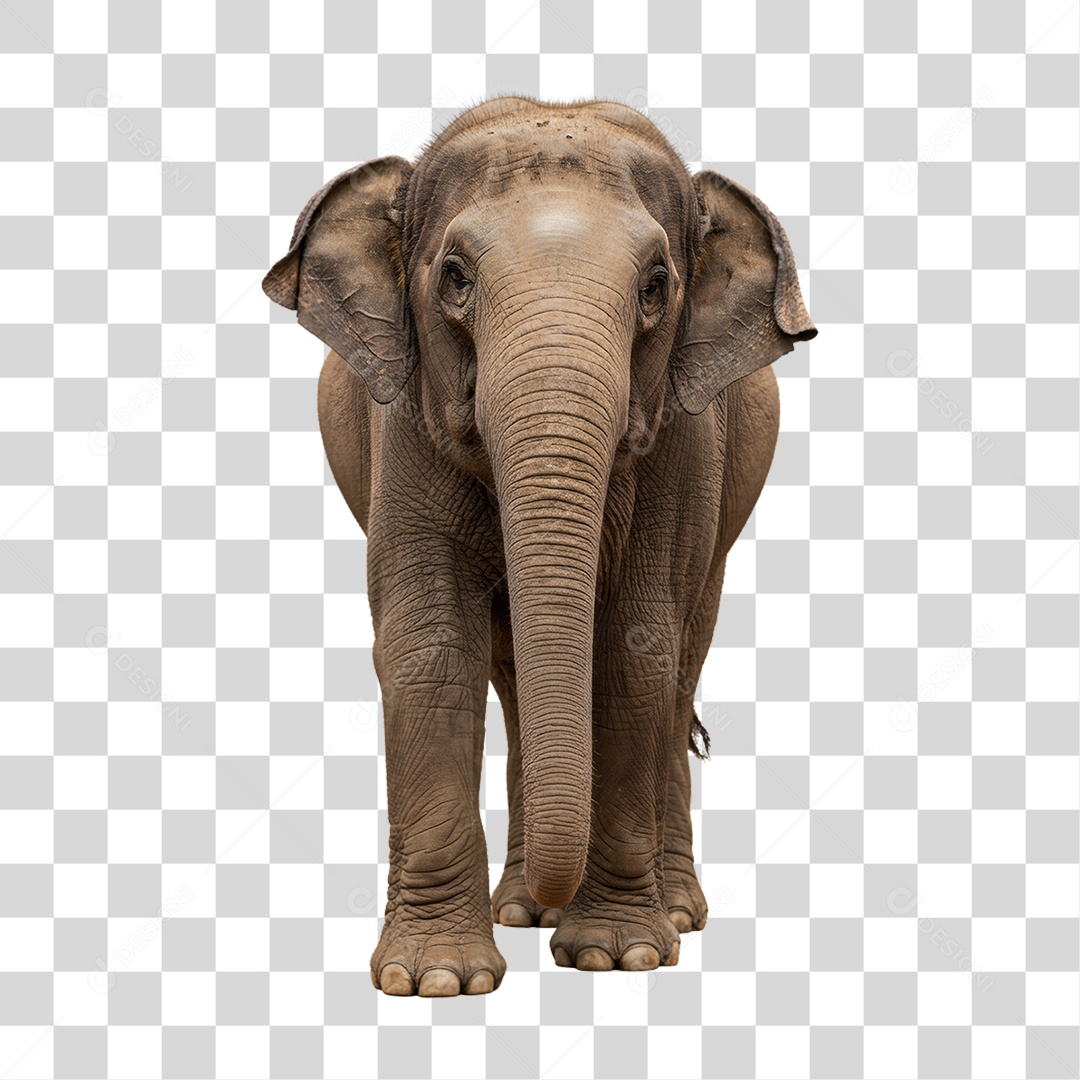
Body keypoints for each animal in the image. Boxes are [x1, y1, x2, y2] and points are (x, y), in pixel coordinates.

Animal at [262, 95, 816, 996]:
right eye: (455, 277)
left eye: (657, 286)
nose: (561, 912)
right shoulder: (401, 424)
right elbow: (431, 648)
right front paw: (434, 980)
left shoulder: (686, 441)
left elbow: (634, 649)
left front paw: (616, 955)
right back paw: (523, 909)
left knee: (682, 653)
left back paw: (672, 913)